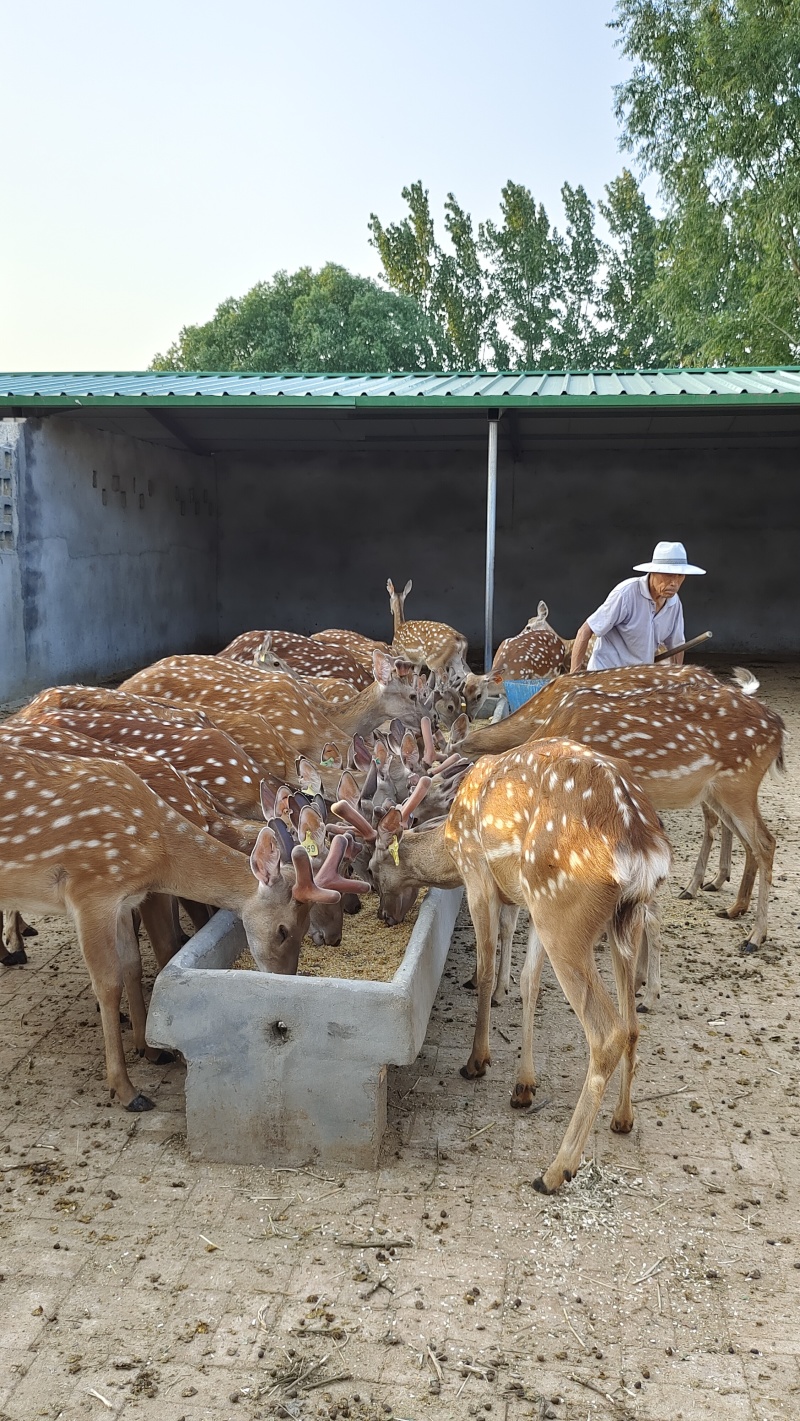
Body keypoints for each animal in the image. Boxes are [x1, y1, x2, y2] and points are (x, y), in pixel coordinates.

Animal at [0, 744, 359, 1110]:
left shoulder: (126, 900)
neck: (154, 855)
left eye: (304, 927)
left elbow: (131, 965)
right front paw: (127, 1090)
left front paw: (151, 1050)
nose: (284, 978)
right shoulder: (91, 891)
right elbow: (108, 984)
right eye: (283, 930)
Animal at [335, 739, 671, 1192]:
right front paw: (523, 1086)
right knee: (632, 1023)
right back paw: (623, 1117)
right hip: (615, 917)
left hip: (563, 911)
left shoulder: (478, 874)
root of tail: (641, 847)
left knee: (608, 1032)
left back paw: (556, 1169)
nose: (384, 916)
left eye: (372, 869)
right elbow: (529, 982)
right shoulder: (527, 898)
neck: (450, 840)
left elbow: (486, 969)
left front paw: (477, 1061)